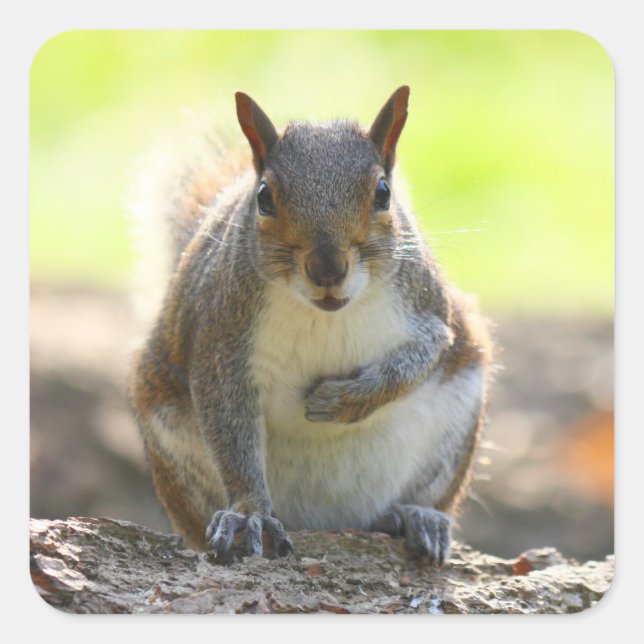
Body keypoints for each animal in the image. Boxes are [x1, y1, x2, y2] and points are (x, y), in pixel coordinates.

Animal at [129, 86, 493, 566]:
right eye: (264, 198)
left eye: (383, 193)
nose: (327, 270)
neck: (326, 314)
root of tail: (327, 521)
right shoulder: (220, 340)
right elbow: (230, 432)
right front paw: (249, 513)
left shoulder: (429, 308)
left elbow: (424, 354)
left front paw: (344, 401)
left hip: (456, 420)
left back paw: (415, 516)